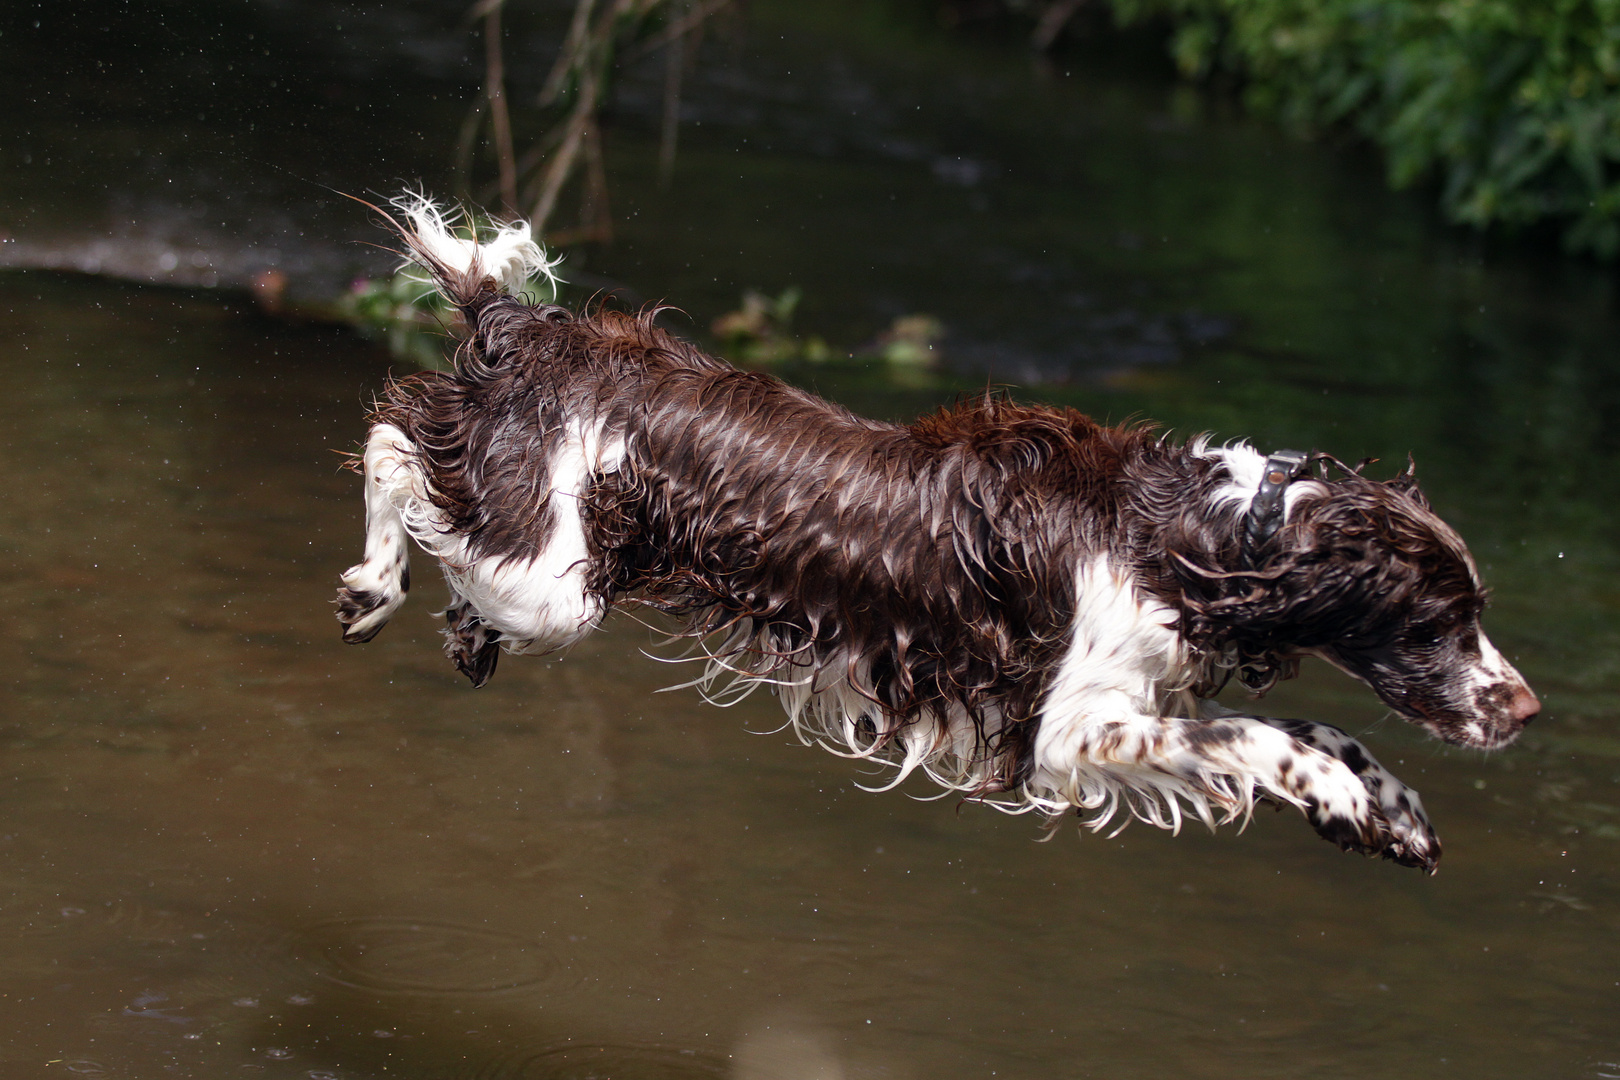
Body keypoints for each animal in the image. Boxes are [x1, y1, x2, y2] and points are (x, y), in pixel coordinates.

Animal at [335, 194, 1535, 874]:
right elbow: (1261, 740)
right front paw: (1340, 797)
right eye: (1440, 621)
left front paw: (1390, 815)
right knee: (392, 440)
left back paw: (459, 630)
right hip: (555, 577)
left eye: (1472, 613)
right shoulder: (1073, 732)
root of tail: (529, 328)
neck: (1207, 536)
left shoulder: (1146, 697)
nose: (1526, 712)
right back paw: (372, 588)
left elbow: (1321, 730)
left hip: (556, 569)